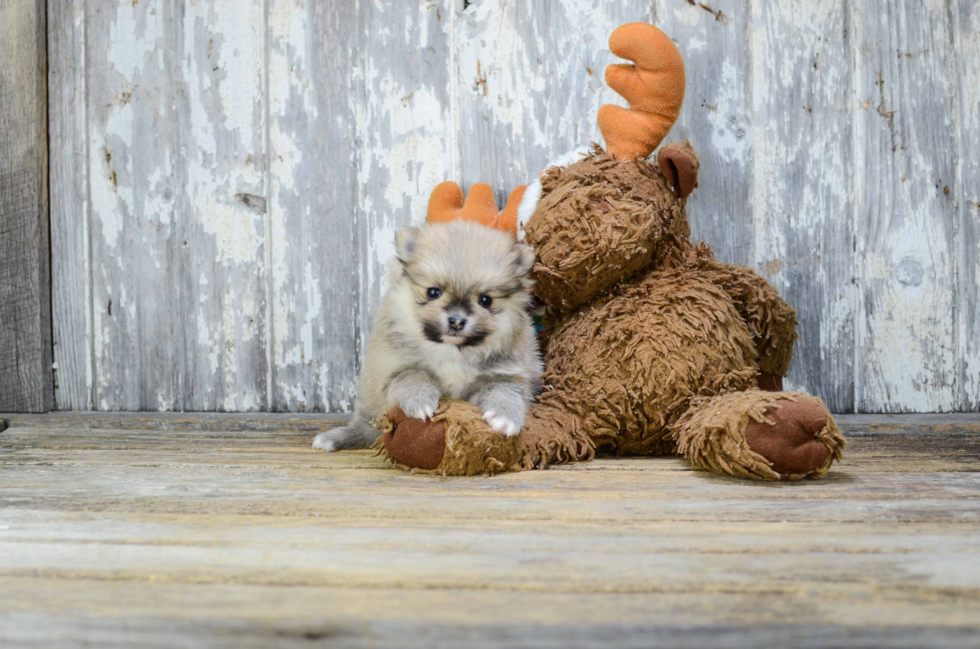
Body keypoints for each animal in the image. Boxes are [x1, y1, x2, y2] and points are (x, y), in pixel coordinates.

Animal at [314, 219, 544, 450]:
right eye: (433, 292)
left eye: (485, 300)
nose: (457, 320)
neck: (451, 351)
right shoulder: (392, 368)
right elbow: (412, 376)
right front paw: (421, 400)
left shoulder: (508, 374)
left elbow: (505, 392)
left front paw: (504, 417)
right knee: (368, 425)